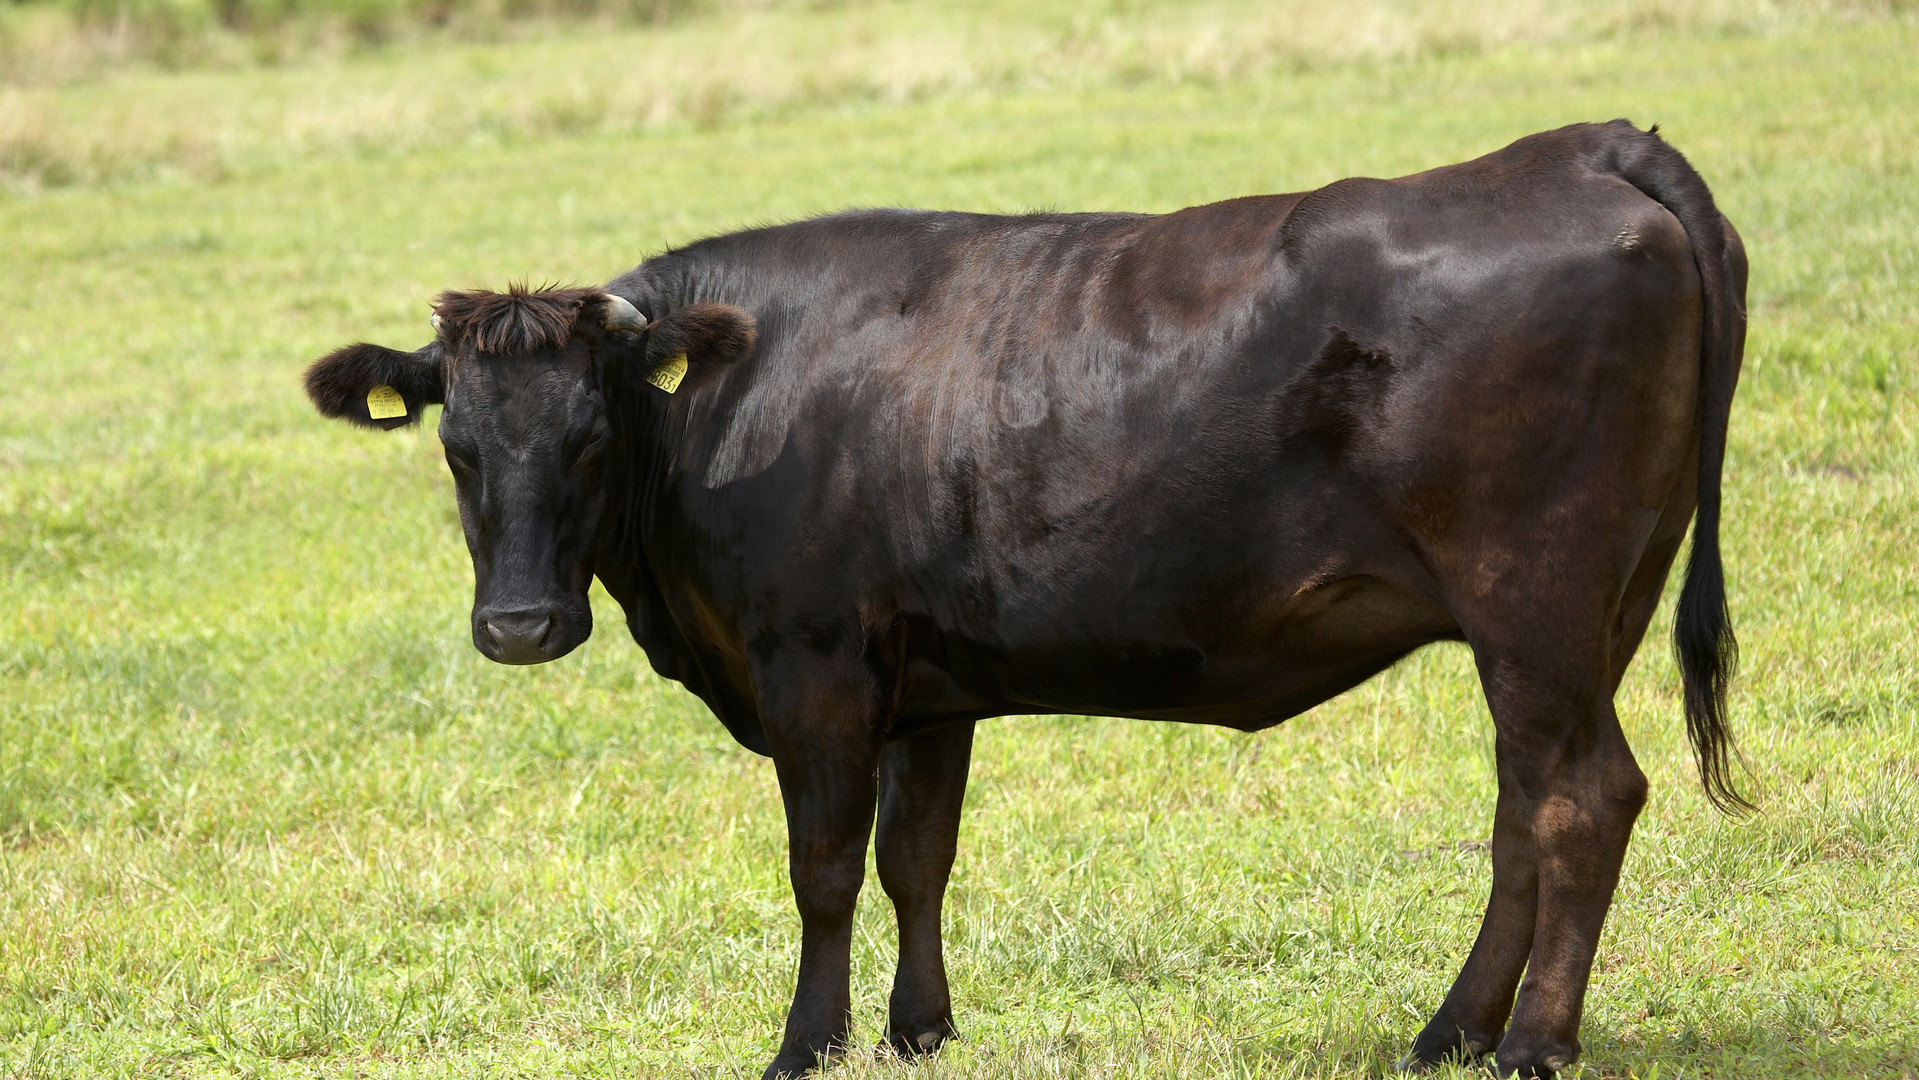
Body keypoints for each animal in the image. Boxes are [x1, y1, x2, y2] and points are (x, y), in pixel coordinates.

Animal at [303, 122, 1757, 1074]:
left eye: (593, 437)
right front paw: (919, 1029)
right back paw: (1449, 1030)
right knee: (1523, 805)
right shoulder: (925, 681)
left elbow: (824, 869)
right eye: (457, 446)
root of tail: (1576, 148)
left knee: (1578, 799)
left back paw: (1529, 1045)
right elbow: (916, 857)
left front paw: (803, 1044)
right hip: (1582, 613)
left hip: (1532, 598)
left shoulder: (815, 668)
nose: (519, 628)